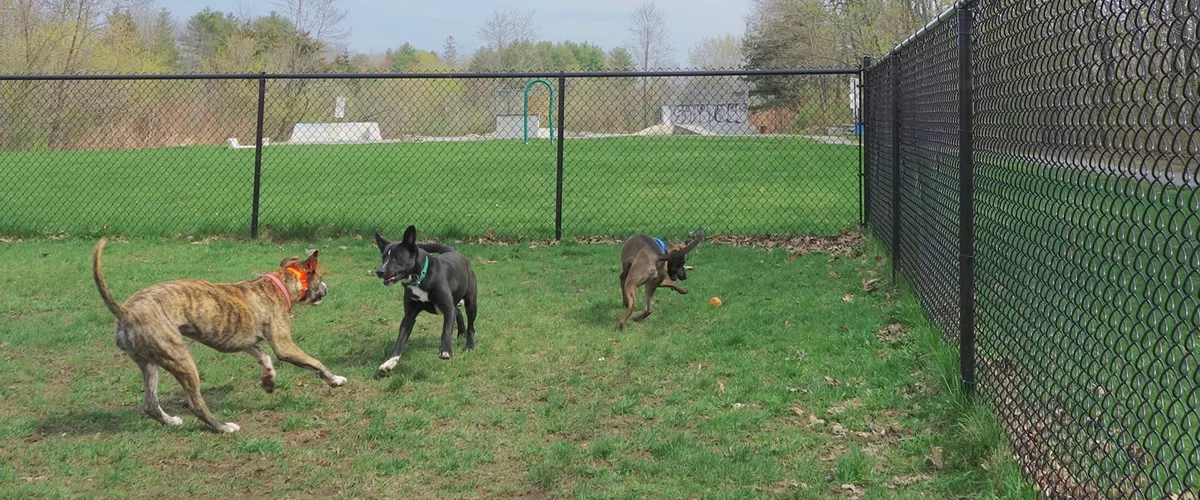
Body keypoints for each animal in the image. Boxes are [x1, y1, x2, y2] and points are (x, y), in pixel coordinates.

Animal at [91, 236, 345, 431]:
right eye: (321, 278)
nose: (327, 289)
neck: (278, 285)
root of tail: (126, 312)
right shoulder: (284, 345)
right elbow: (314, 362)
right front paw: (334, 379)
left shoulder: (244, 342)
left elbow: (264, 356)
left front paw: (269, 380)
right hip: (180, 358)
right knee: (195, 403)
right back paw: (223, 426)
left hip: (149, 363)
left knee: (151, 403)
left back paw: (171, 421)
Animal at [372, 225, 475, 374]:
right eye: (383, 257)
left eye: (397, 257)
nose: (379, 271)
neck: (420, 278)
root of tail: (454, 252)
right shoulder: (409, 316)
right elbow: (400, 340)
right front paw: (390, 362)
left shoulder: (447, 308)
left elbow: (446, 330)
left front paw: (445, 349)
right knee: (458, 313)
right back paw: (461, 334)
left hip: (471, 302)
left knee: (470, 325)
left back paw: (469, 344)